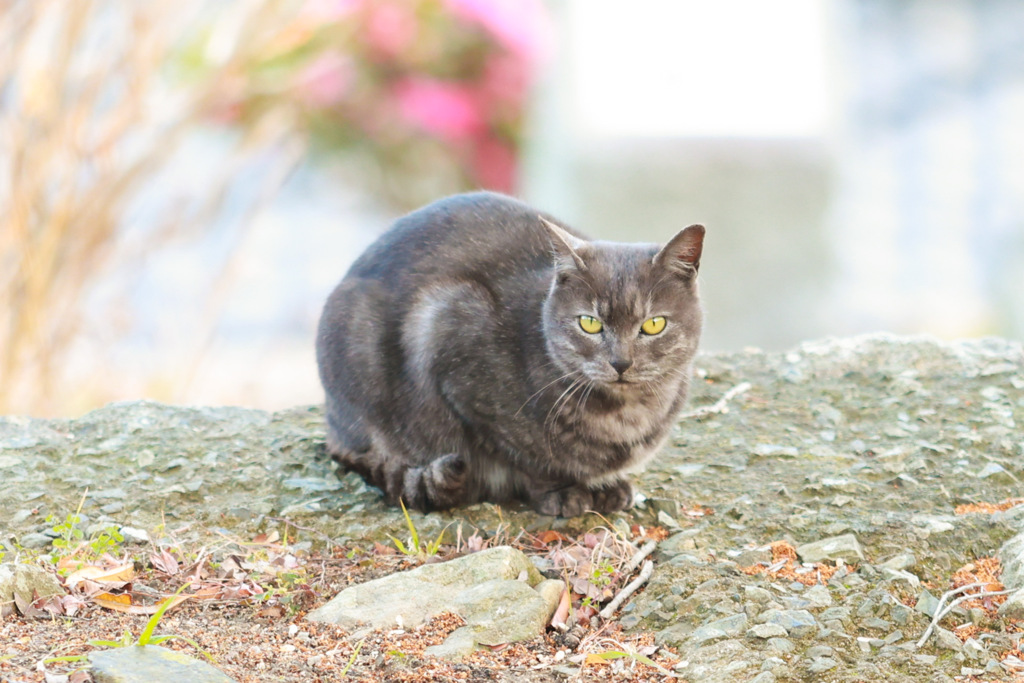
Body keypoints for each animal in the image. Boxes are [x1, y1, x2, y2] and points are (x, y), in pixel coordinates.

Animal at [319, 192, 704, 518]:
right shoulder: (448, 336)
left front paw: (608, 487)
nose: (621, 363)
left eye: (653, 324)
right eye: (589, 323)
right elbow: (525, 459)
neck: (627, 416)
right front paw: (562, 492)